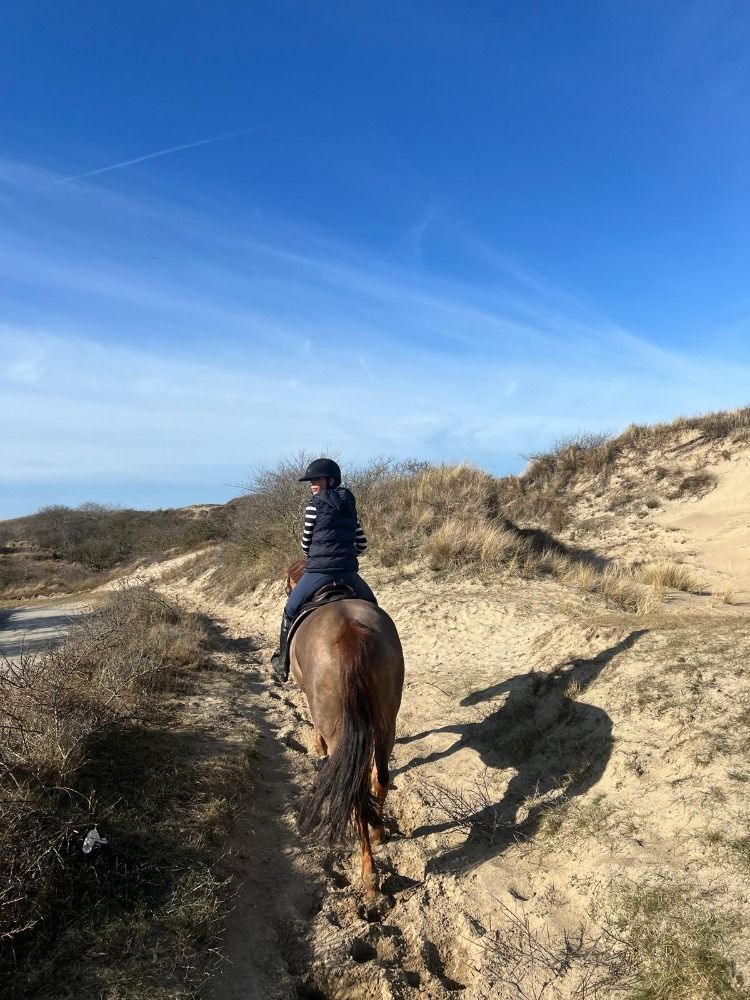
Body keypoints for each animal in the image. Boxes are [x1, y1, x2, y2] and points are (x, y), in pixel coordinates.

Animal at [284, 560, 404, 895]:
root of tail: (350, 632)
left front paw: (318, 750)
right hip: (387, 720)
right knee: (380, 776)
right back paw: (378, 832)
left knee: (356, 792)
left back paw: (369, 875)